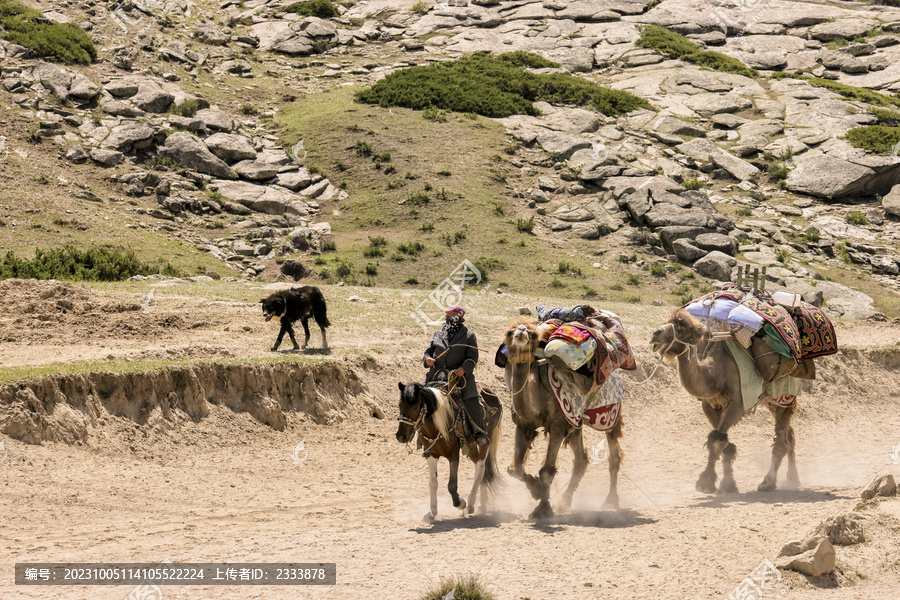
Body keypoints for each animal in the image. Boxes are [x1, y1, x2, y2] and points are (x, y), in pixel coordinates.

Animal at [398, 384, 502, 520]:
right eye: (399, 405)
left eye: (415, 407)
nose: (401, 436)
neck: (438, 425)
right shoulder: (431, 454)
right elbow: (433, 483)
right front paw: (432, 511)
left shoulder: (453, 454)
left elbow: (452, 485)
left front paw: (461, 503)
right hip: (471, 446)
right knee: (479, 468)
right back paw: (482, 502)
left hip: (485, 440)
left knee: (481, 467)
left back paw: (471, 503)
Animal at [500, 318, 624, 520]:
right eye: (510, 332)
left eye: (533, 334)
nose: (521, 331)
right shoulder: (523, 424)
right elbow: (515, 469)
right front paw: (535, 490)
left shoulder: (557, 425)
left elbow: (547, 470)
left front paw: (543, 508)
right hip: (576, 423)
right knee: (581, 459)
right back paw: (565, 501)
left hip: (609, 415)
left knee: (614, 455)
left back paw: (610, 501)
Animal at [652, 308, 812, 494]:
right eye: (668, 321)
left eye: (682, 328)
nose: (655, 333)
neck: (716, 373)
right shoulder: (710, 405)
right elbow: (724, 443)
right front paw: (727, 484)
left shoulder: (738, 403)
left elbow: (716, 441)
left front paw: (705, 482)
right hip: (773, 401)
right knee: (789, 434)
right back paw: (792, 478)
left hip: (785, 396)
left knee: (782, 440)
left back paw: (768, 482)